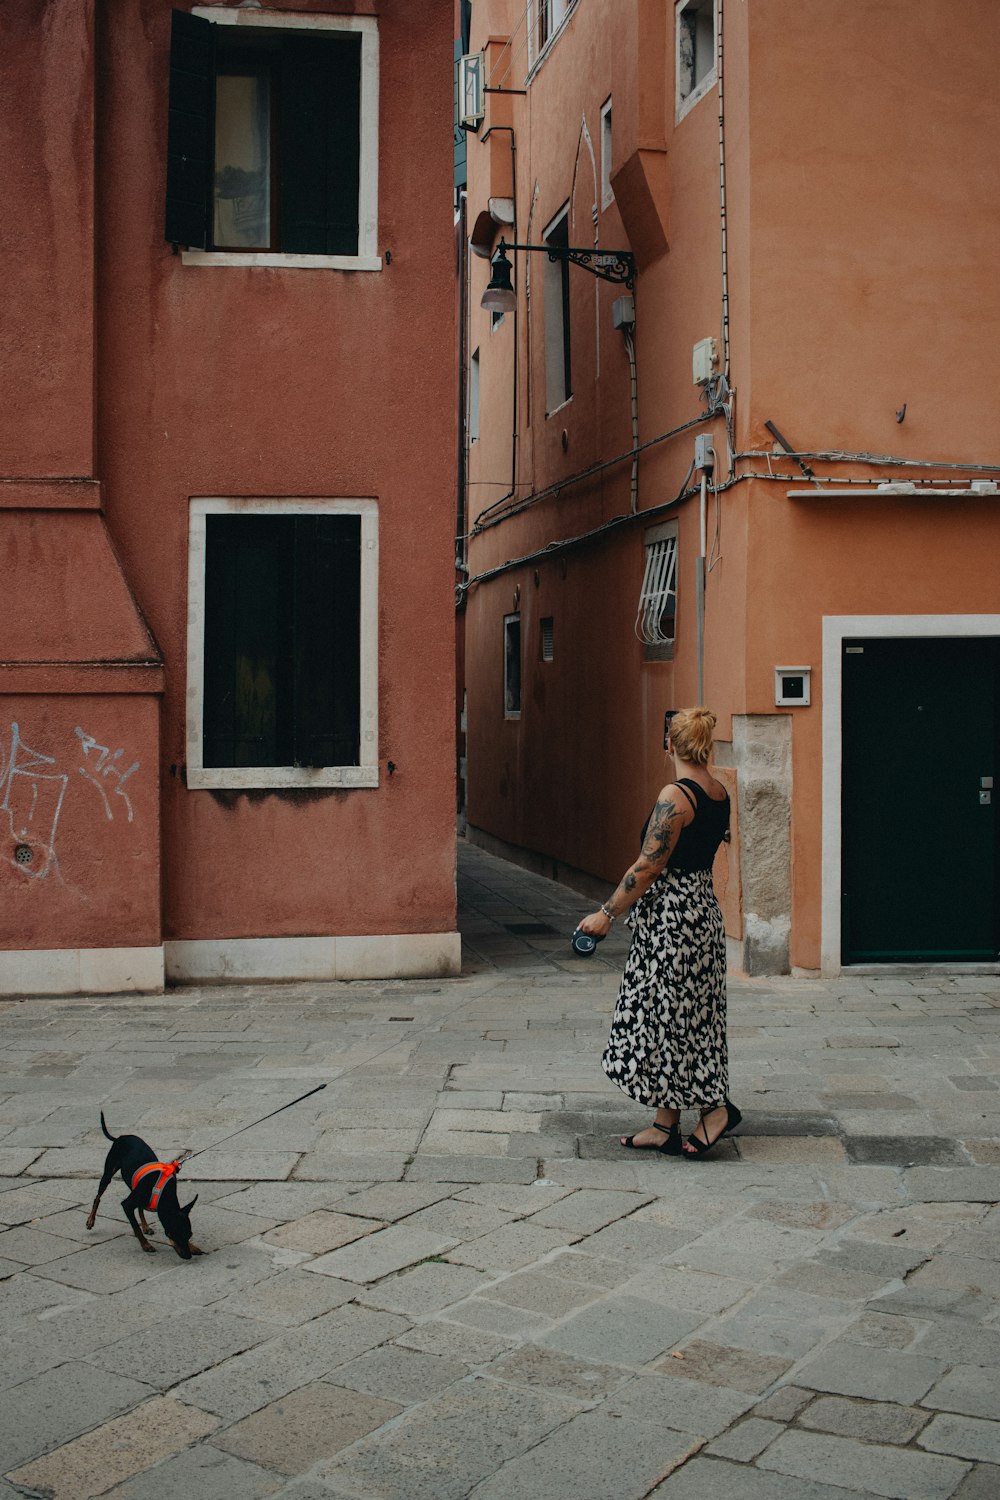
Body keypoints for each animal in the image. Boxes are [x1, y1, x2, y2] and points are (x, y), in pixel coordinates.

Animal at [86, 1110, 202, 1260]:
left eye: (189, 1235)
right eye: (175, 1234)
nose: (188, 1257)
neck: (163, 1195)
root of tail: (121, 1137)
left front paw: (193, 1247)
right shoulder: (127, 1205)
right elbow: (135, 1227)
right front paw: (145, 1245)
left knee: (140, 1207)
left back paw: (146, 1226)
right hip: (108, 1174)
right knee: (98, 1197)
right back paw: (90, 1220)